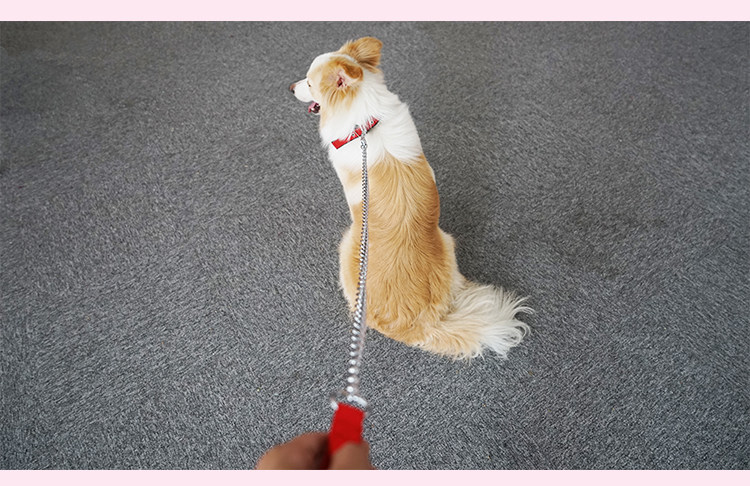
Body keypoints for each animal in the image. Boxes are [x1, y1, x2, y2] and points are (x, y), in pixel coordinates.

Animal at [290, 37, 530, 359]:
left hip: (348, 245)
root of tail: (422, 324)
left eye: (309, 83)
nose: (290, 88)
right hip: (447, 243)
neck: (366, 122)